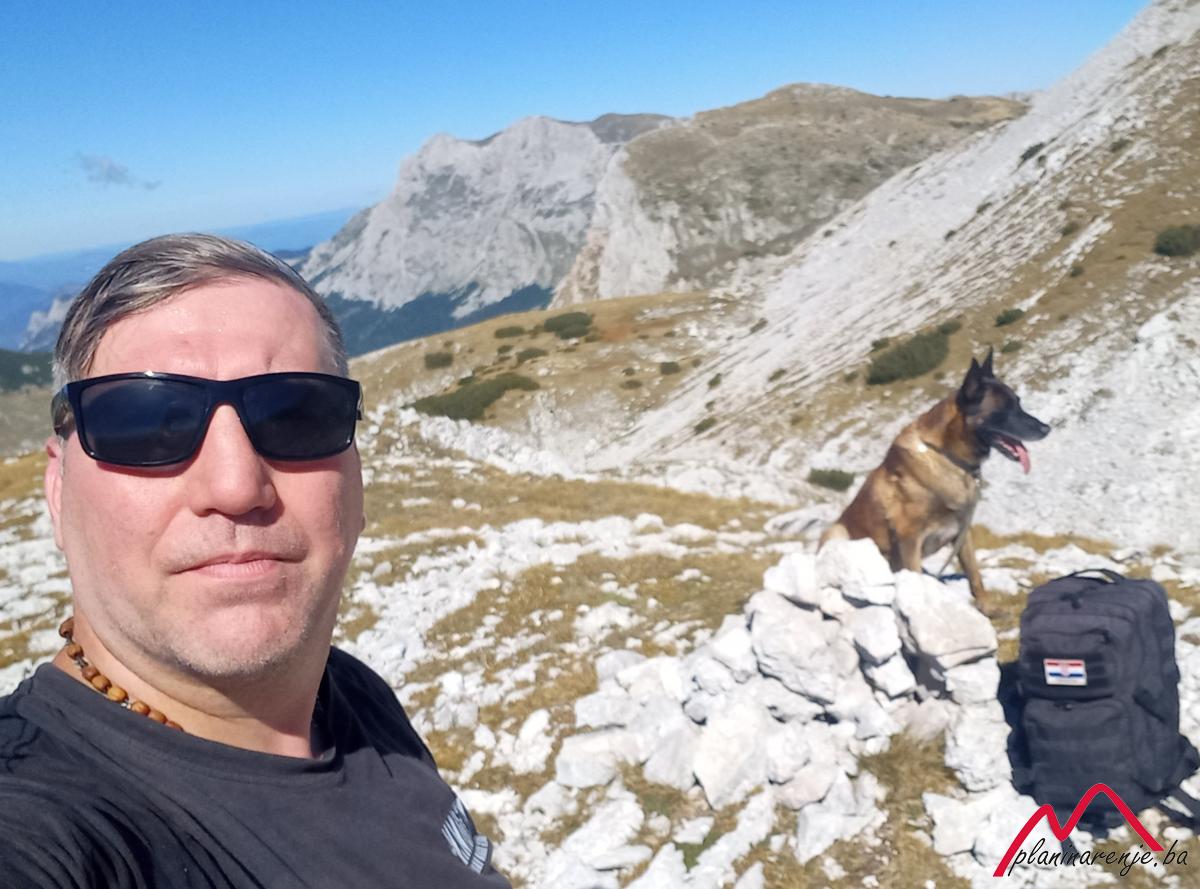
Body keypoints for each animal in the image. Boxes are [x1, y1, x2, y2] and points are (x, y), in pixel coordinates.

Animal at [820, 350, 1049, 612]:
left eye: (1018, 403)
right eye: (1005, 410)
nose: (1047, 428)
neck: (946, 455)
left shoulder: (963, 534)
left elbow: (974, 574)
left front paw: (987, 608)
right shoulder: (909, 540)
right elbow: (917, 580)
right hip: (836, 532)